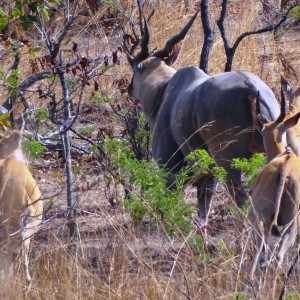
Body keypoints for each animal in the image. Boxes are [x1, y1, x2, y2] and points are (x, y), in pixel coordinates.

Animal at [124, 11, 278, 216]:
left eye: (135, 70)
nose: (129, 89)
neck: (164, 89)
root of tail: (251, 89)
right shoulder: (207, 177)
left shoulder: (169, 167)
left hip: (228, 163)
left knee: (243, 201)